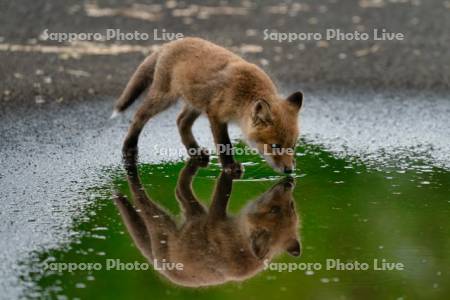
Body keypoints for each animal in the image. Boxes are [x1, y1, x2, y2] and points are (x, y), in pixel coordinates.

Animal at [113, 37, 302, 173]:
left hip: (196, 103)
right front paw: (229, 167)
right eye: (275, 146)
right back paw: (129, 147)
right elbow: (225, 145)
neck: (244, 94)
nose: (289, 171)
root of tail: (170, 43)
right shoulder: (216, 115)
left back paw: (194, 151)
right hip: (165, 98)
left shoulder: (211, 111)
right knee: (139, 115)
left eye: (292, 146)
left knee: (181, 121)